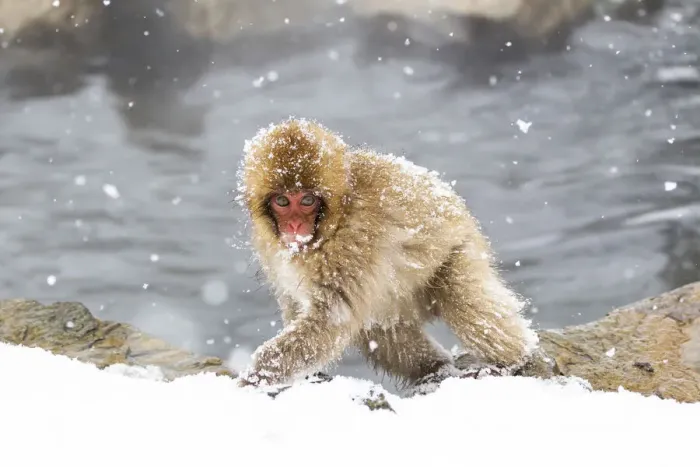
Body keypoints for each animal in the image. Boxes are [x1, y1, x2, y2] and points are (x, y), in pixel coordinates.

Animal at [235, 118, 539, 390]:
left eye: (307, 200)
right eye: (282, 201)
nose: (295, 226)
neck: (332, 224)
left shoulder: (353, 244)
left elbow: (332, 317)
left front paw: (256, 377)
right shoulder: (269, 249)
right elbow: (298, 305)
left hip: (460, 250)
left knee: (461, 296)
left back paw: (512, 360)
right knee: (377, 327)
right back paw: (436, 368)